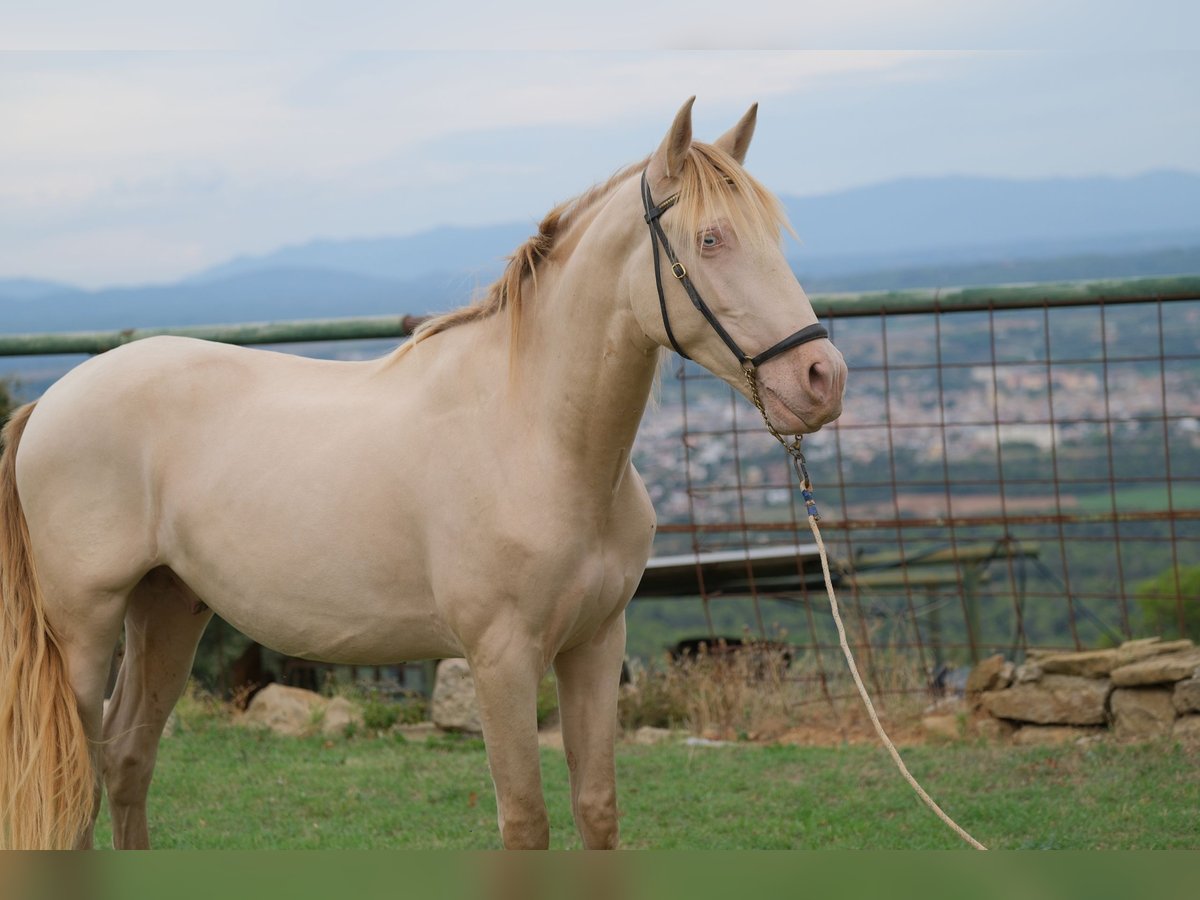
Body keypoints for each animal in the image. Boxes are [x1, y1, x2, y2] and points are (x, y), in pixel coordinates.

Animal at [0, 100, 844, 854]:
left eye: (772, 235)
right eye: (711, 238)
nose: (821, 378)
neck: (536, 438)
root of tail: (50, 402)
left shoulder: (597, 644)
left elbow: (597, 809)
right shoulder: (501, 659)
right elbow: (525, 823)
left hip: (170, 608)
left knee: (127, 758)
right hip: (86, 629)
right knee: (78, 782)